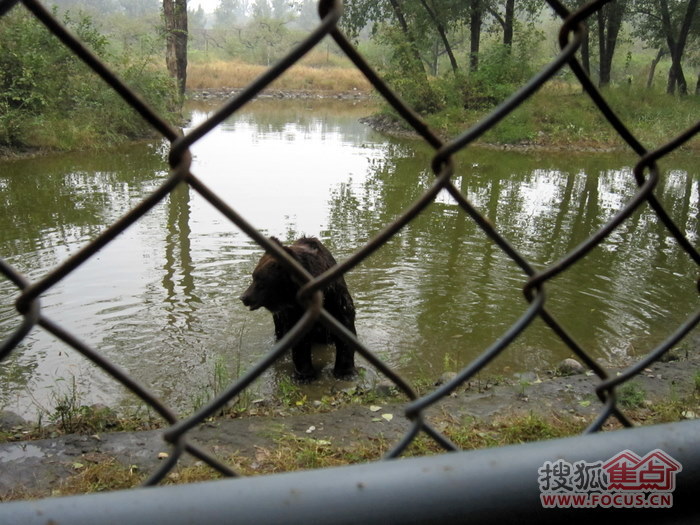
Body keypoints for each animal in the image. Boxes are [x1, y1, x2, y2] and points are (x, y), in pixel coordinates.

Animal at [241, 237, 358, 380]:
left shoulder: (337, 302)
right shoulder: (295, 313)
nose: (244, 297)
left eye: (260, 281)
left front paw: (345, 372)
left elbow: (345, 330)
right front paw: (304, 375)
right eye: (254, 276)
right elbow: (300, 342)